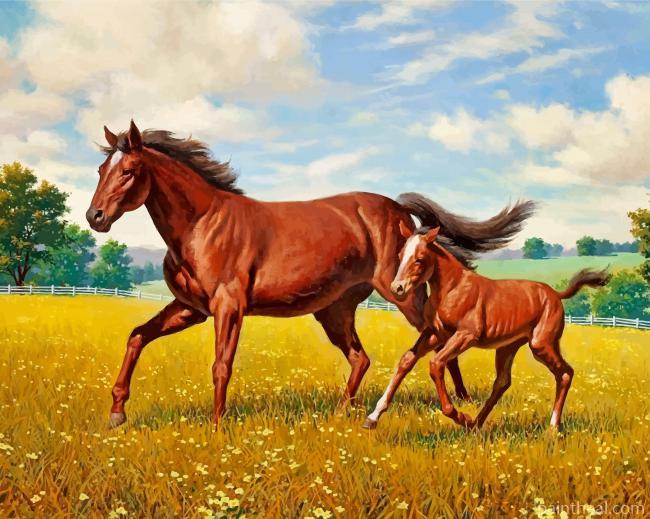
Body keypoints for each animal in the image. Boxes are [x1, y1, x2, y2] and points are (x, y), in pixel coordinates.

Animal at [87, 120, 535, 428]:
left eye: (128, 170)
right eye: (100, 170)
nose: (95, 217)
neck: (202, 225)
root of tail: (398, 210)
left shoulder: (228, 308)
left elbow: (221, 365)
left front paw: (216, 427)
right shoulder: (190, 308)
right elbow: (137, 336)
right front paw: (117, 412)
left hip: (402, 293)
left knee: (433, 335)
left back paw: (459, 404)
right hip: (335, 311)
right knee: (361, 358)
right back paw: (344, 413)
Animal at [363, 223, 610, 431]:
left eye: (420, 258)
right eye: (400, 255)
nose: (398, 288)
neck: (452, 289)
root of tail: (555, 295)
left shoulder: (466, 335)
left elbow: (436, 364)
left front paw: (458, 415)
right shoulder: (435, 334)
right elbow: (407, 360)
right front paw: (373, 417)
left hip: (541, 344)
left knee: (566, 373)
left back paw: (552, 427)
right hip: (508, 347)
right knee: (502, 382)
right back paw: (476, 424)